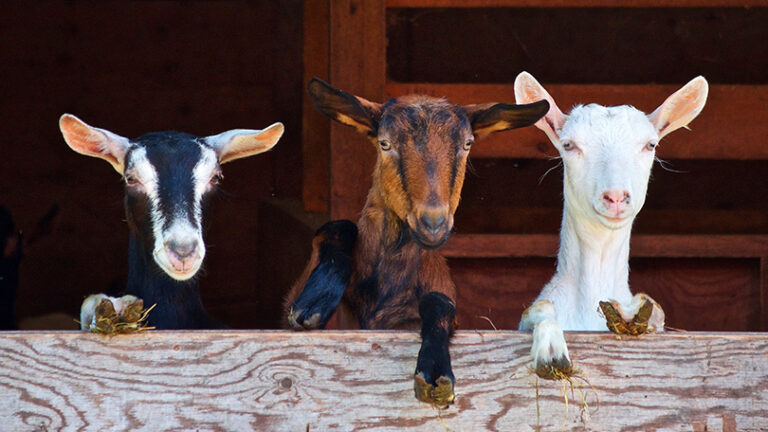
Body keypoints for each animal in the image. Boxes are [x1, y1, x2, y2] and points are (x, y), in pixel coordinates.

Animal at [284, 77, 549, 405]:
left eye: (467, 144)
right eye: (384, 143)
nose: (433, 223)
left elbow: (440, 302)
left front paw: (435, 371)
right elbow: (336, 227)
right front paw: (315, 301)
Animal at [514, 72, 709, 374]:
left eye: (650, 144)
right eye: (568, 144)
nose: (616, 197)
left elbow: (655, 308)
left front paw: (633, 312)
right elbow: (539, 307)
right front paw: (551, 350)